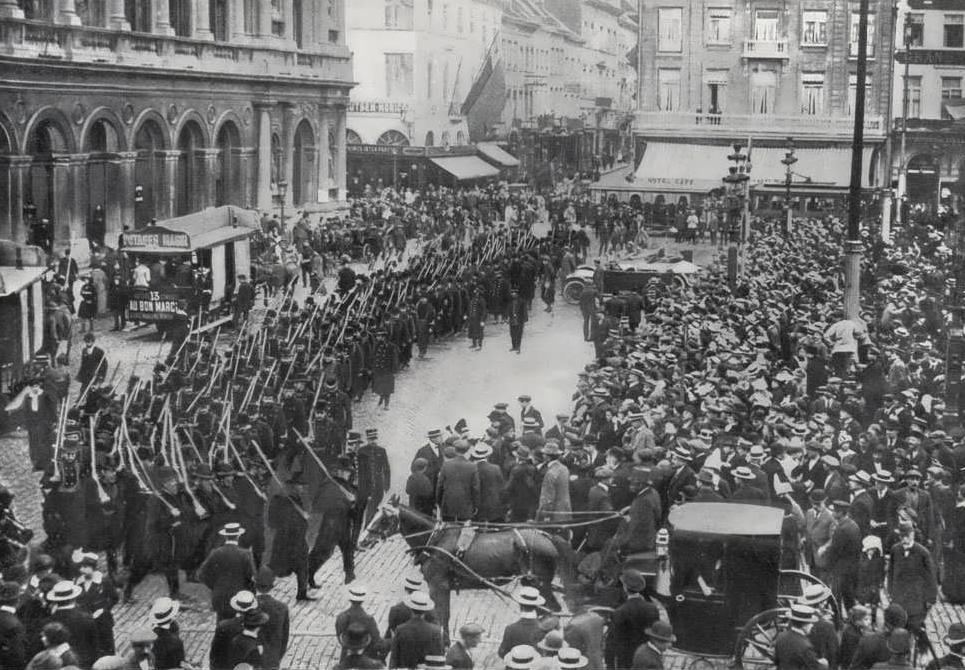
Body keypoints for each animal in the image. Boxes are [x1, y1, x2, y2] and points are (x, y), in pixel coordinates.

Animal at [360, 498, 572, 636]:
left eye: (384, 519)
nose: (362, 541)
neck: (436, 539)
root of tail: (548, 536)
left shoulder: (439, 586)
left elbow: (442, 616)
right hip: (531, 584)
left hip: (541, 584)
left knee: (553, 611)